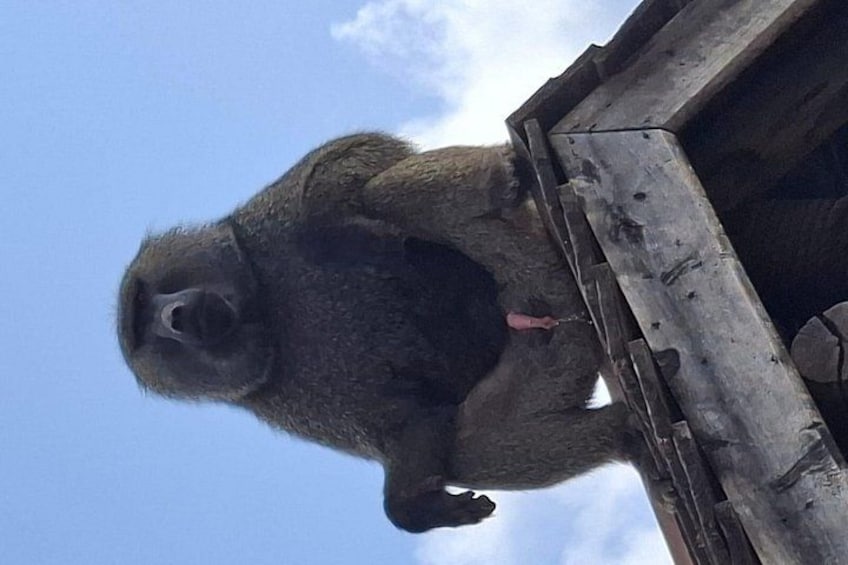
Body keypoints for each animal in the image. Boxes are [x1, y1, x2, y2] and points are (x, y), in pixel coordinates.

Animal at [117, 133, 638, 533]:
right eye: (144, 325)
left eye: (144, 300)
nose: (175, 317)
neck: (267, 312)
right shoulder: (286, 395)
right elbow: (410, 422)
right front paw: (417, 508)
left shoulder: (263, 224)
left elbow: (344, 164)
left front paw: (343, 231)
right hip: (545, 317)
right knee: (472, 445)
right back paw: (624, 433)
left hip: (518, 252)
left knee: (385, 195)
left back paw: (506, 177)